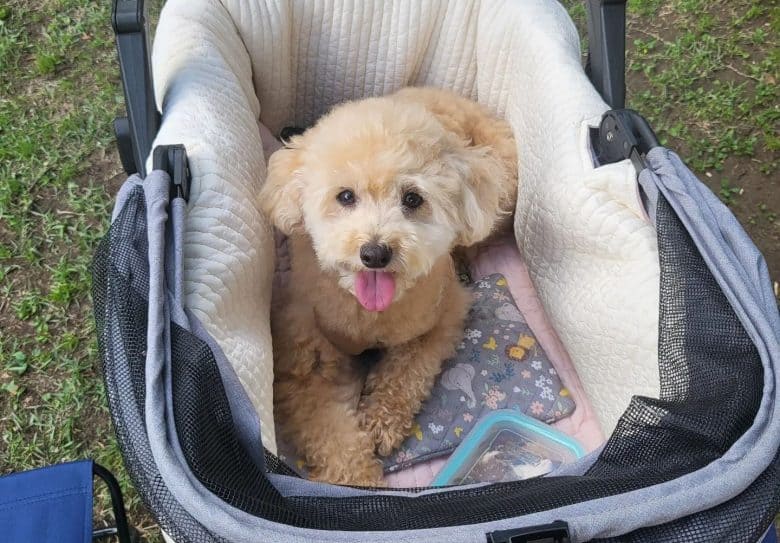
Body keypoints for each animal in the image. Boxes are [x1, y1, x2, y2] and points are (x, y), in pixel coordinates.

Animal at [262, 87, 516, 486]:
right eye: (345, 196)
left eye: (412, 198)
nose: (375, 253)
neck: (369, 316)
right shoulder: (305, 354)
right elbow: (328, 428)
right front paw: (359, 481)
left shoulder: (440, 316)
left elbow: (408, 371)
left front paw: (381, 422)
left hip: (504, 178)